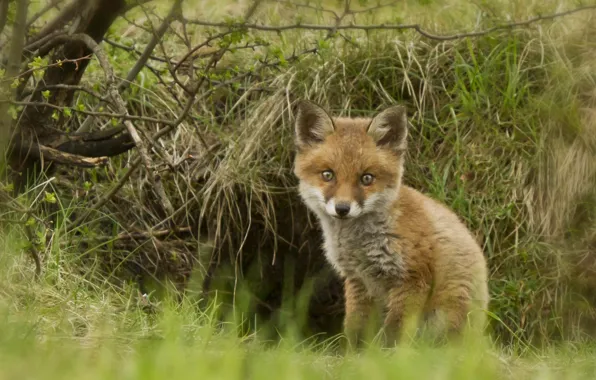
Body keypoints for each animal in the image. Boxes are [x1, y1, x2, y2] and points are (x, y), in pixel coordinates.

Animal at [292, 100, 488, 348]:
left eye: (366, 178)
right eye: (328, 175)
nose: (342, 209)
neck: (360, 245)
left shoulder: (412, 279)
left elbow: (395, 332)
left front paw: (392, 357)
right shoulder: (358, 281)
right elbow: (355, 328)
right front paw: (353, 355)